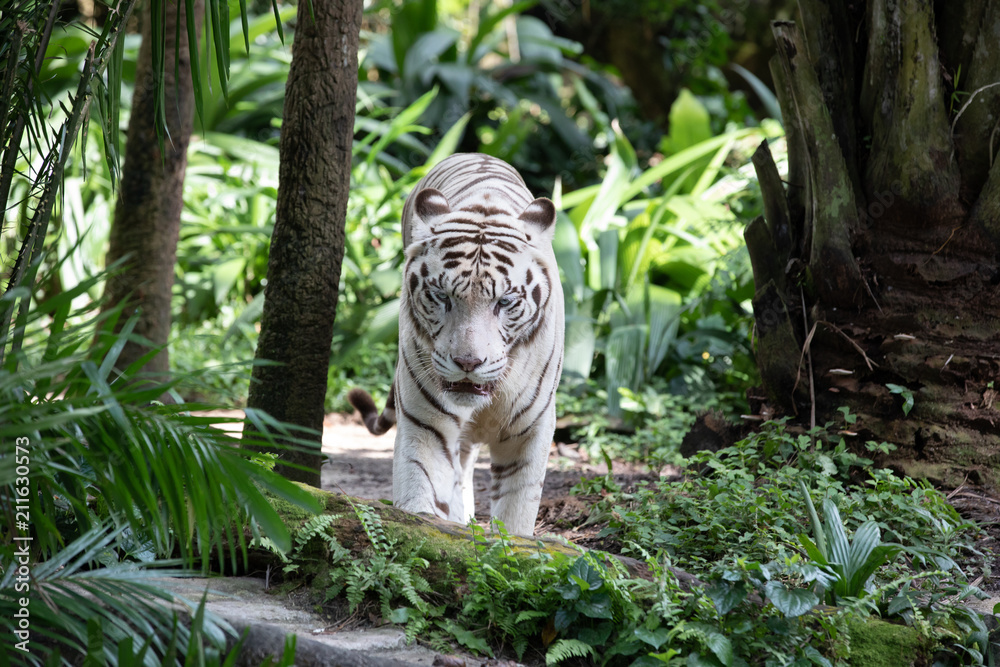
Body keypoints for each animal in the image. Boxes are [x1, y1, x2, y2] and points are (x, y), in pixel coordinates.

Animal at [348, 153, 564, 536]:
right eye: (441, 296)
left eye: (505, 302)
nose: (468, 363)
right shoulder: (426, 423)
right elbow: (424, 491)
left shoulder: (530, 430)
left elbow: (518, 510)